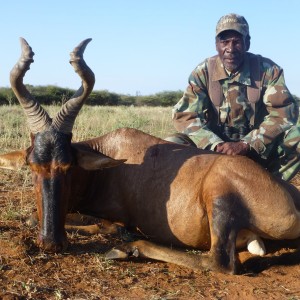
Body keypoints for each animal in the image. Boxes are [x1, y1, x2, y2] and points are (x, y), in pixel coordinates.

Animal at [0, 38, 300, 274]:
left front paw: (120, 236)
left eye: (68, 166)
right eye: (32, 166)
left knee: (219, 263)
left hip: (218, 198)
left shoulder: (117, 216)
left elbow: (103, 225)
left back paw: (128, 249)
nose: (51, 243)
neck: (110, 158)